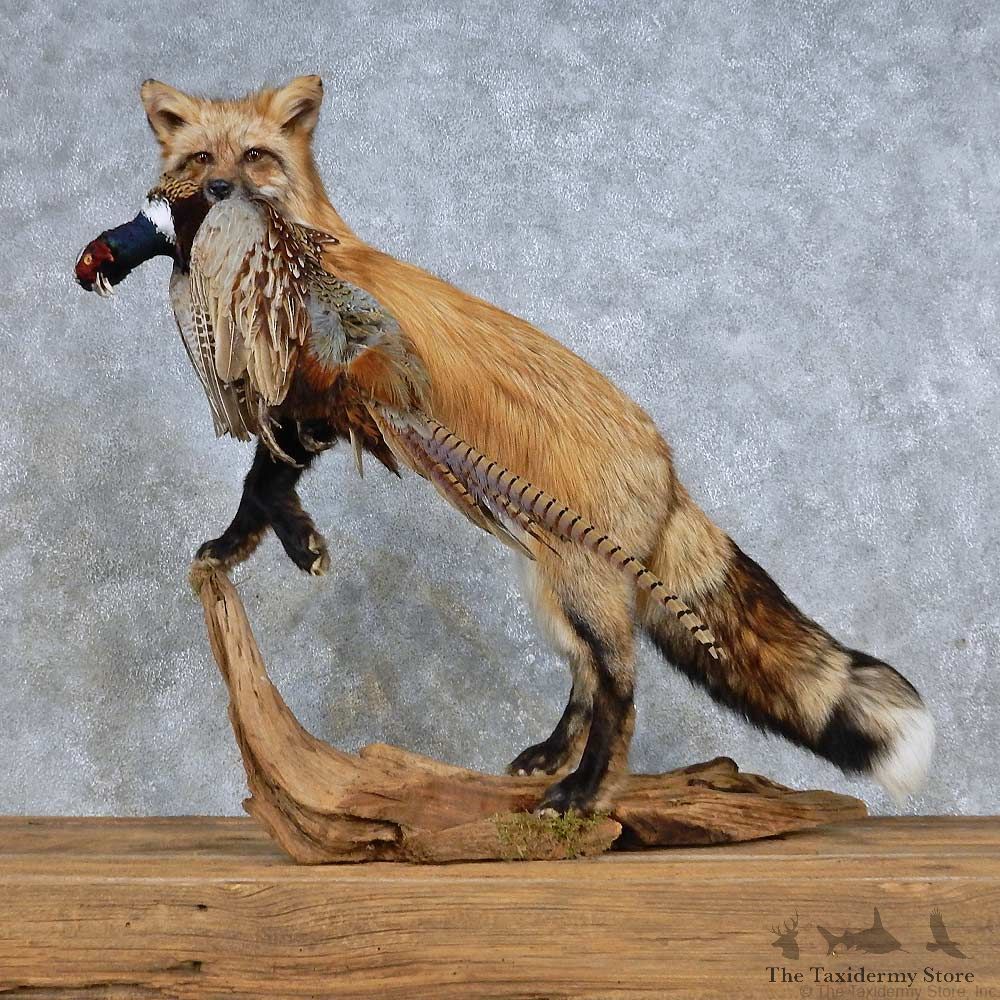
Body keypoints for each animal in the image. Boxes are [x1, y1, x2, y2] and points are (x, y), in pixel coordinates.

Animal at [135, 74, 933, 815]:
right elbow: (263, 483)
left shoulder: (329, 401)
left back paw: (585, 791)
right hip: (551, 585)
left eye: (256, 156)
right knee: (585, 677)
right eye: (201, 157)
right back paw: (553, 757)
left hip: (583, 585)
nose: (219, 190)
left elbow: (264, 484)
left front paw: (282, 546)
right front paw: (253, 546)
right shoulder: (304, 409)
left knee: (621, 688)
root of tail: (669, 465)